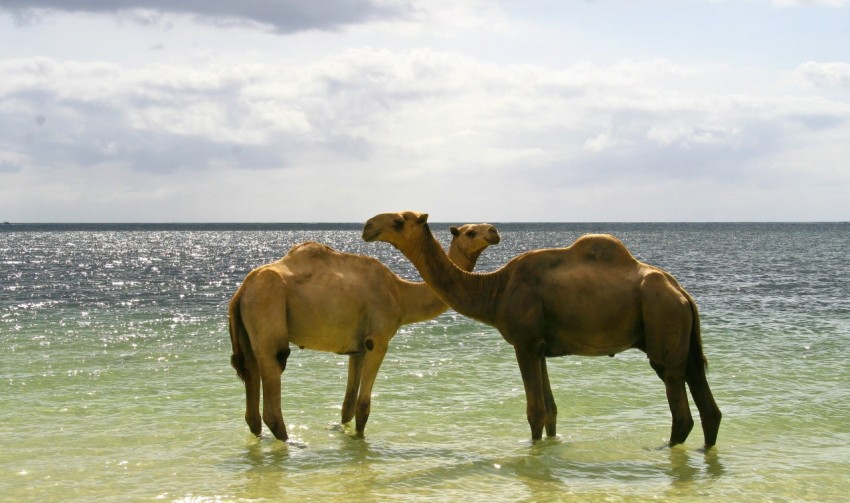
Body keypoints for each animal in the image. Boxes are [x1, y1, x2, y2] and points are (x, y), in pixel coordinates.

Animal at [228, 223, 501, 441]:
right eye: (470, 232)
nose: (494, 231)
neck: (401, 294)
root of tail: (241, 291)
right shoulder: (377, 340)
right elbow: (363, 406)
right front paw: (359, 440)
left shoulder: (356, 348)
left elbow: (347, 406)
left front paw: (343, 433)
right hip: (268, 309)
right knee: (274, 378)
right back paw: (292, 443)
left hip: (247, 330)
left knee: (251, 392)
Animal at [362, 211, 721, 448]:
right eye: (468, 231)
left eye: (398, 221)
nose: (367, 226)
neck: (496, 291)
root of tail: (683, 294)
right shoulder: (542, 347)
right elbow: (551, 411)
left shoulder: (525, 342)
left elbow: (535, 411)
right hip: (684, 336)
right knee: (705, 399)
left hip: (663, 320)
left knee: (680, 406)